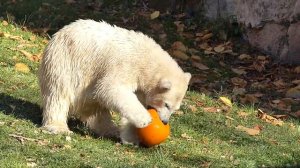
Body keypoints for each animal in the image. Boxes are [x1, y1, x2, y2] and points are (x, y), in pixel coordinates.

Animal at [38, 18, 191, 144]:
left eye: (175, 108)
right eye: (166, 104)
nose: (164, 121)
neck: (146, 59)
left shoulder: (140, 83)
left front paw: (131, 139)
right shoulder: (124, 64)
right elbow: (111, 87)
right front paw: (145, 120)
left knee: (97, 109)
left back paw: (110, 129)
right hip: (65, 62)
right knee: (58, 94)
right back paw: (58, 127)